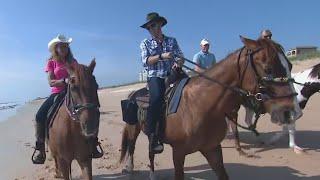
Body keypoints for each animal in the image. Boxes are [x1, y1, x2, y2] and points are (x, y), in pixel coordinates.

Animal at [119, 36, 302, 180]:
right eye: (268, 69)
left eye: (290, 66)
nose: (292, 112)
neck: (200, 105)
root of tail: (133, 93)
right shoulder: (178, 153)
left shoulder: (212, 149)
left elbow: (223, 174)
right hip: (133, 128)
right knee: (133, 147)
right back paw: (133, 169)